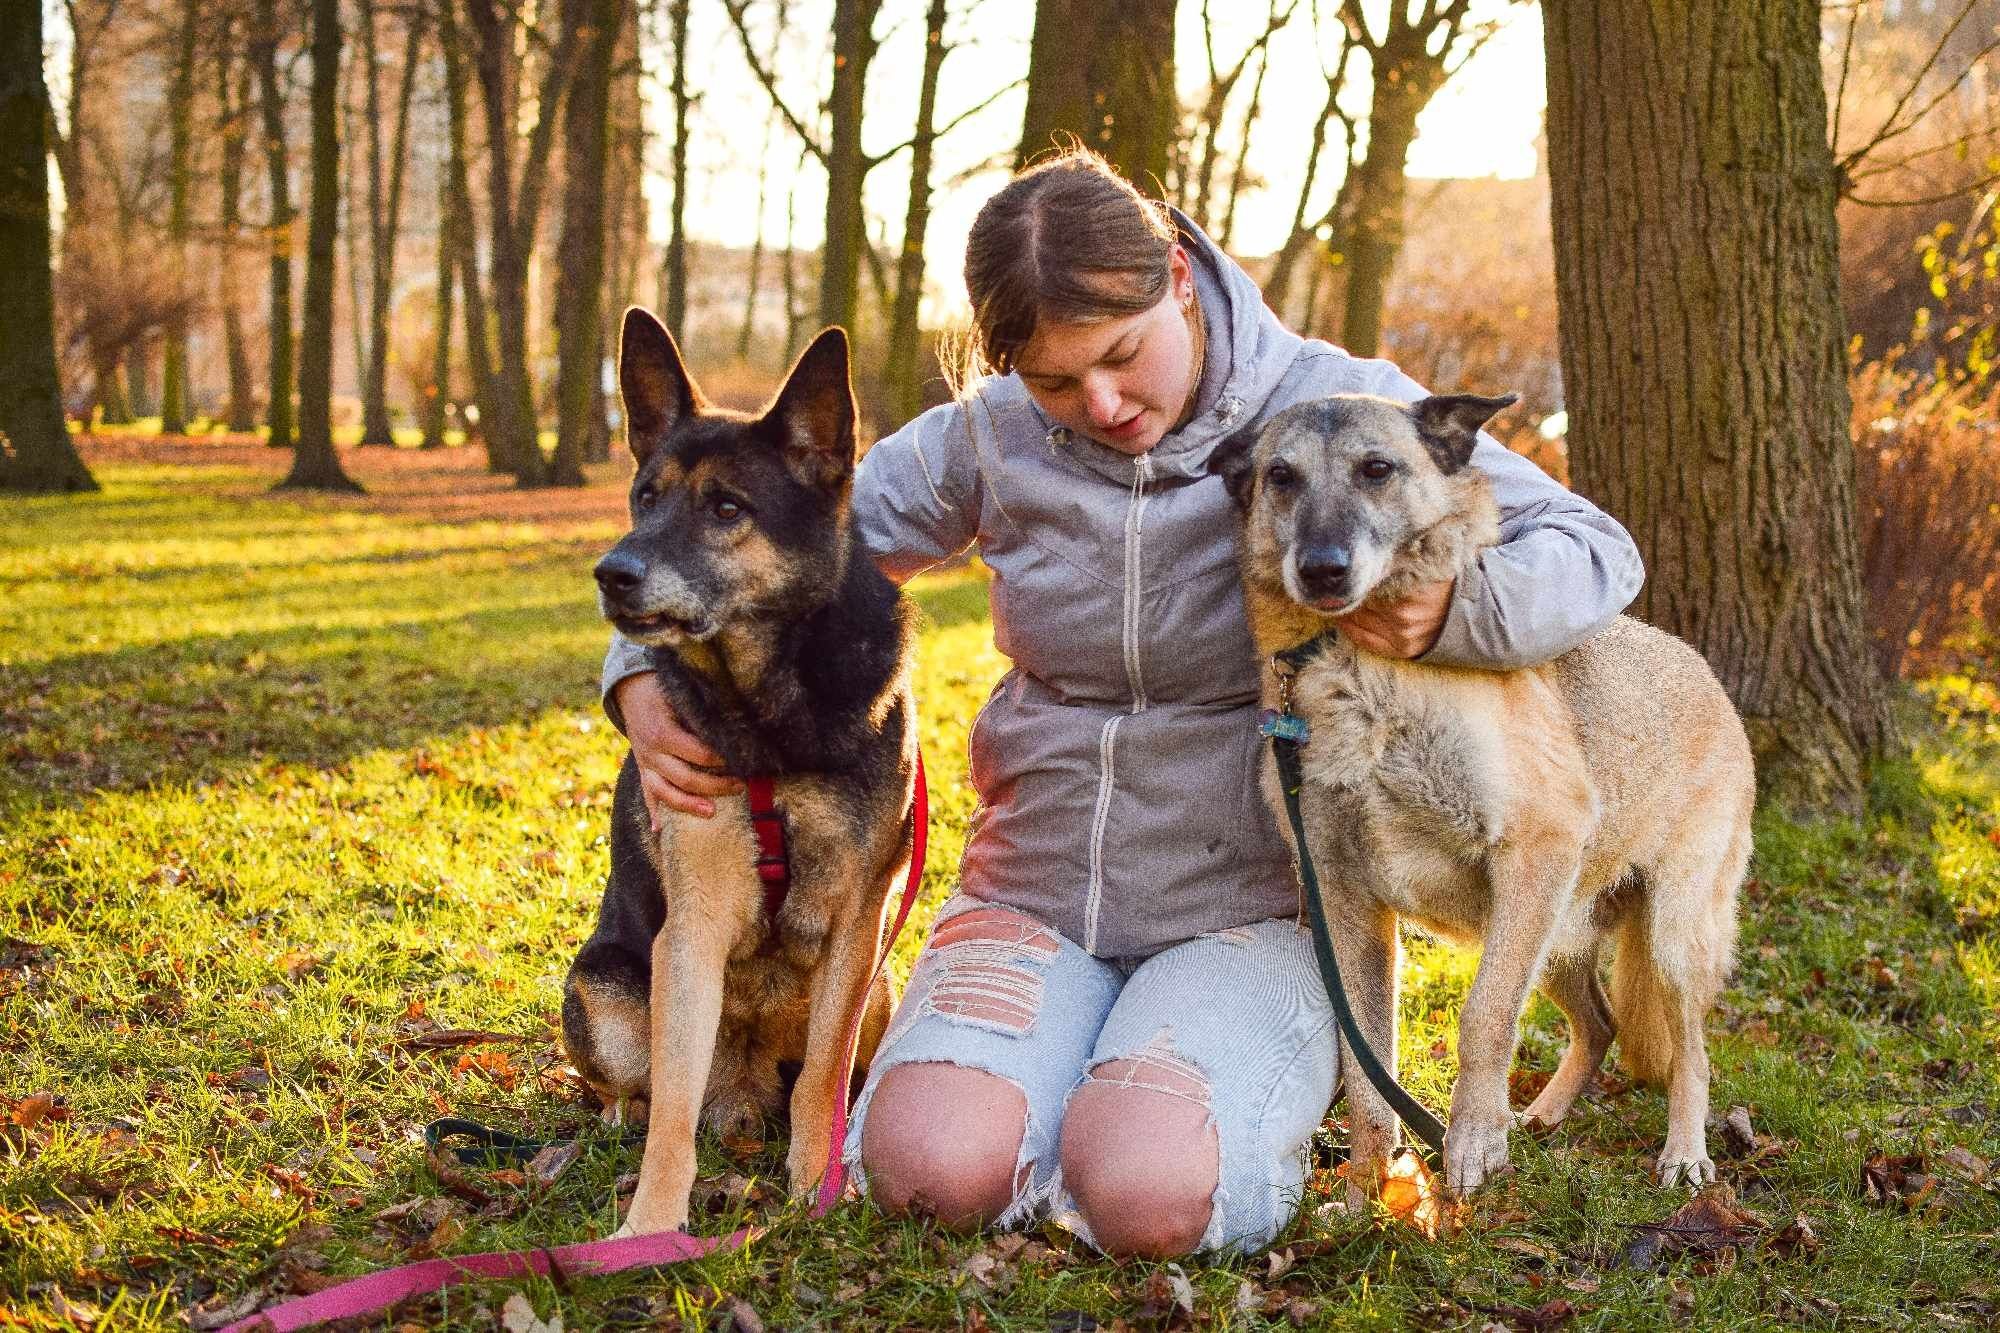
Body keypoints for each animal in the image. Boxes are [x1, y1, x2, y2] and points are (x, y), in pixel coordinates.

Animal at [1200, 392, 1752, 1192]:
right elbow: (1366, 1060)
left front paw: (1469, 1146)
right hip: (1558, 936)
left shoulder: (1536, 852)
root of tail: (1706, 673)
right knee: (1601, 1024)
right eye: (1282, 477)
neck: (1358, 674)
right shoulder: (1346, 902)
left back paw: (1684, 1151)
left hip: (1665, 936)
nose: (1322, 570)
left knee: (1692, 1051)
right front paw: (1369, 1185)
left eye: (1376, 469)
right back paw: (1544, 1115)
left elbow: (1484, 1016)